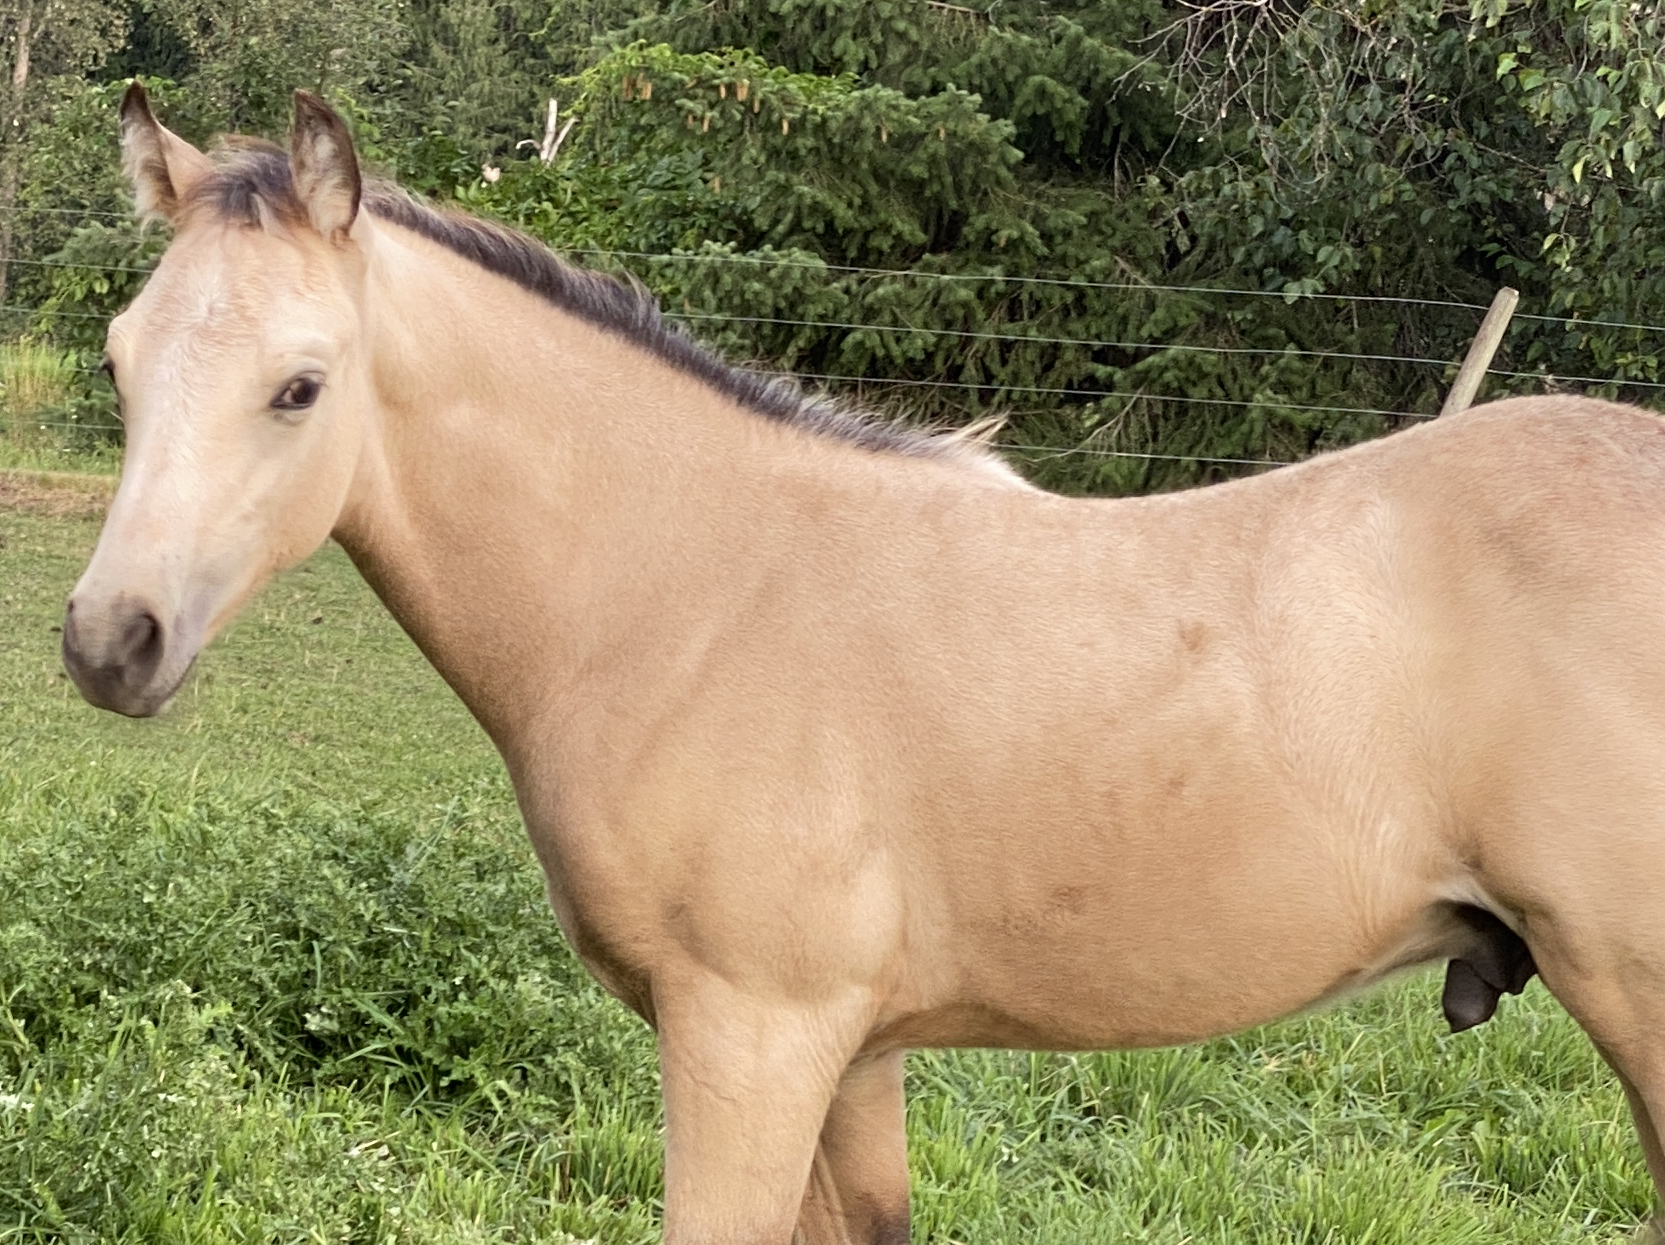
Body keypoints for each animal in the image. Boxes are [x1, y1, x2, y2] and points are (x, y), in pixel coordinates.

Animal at [63, 83, 1665, 1244]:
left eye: (300, 386)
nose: (106, 641)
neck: (696, 601)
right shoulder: (855, 1055)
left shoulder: (750, 1039)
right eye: (121, 360)